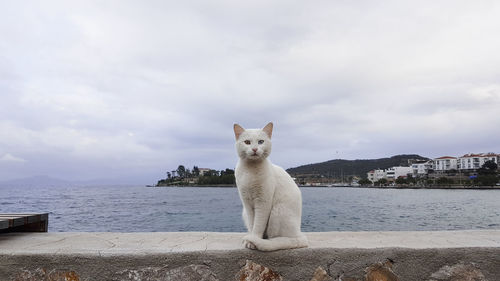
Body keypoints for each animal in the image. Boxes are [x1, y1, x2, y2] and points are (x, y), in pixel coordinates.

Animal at [234, 121, 308, 250]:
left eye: (261, 142)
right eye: (247, 142)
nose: (254, 149)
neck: (250, 171)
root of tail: (299, 234)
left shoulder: (263, 202)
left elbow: (258, 225)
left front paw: (253, 239)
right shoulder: (247, 203)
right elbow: (252, 223)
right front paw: (250, 239)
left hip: (277, 211)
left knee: (279, 239)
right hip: (246, 212)